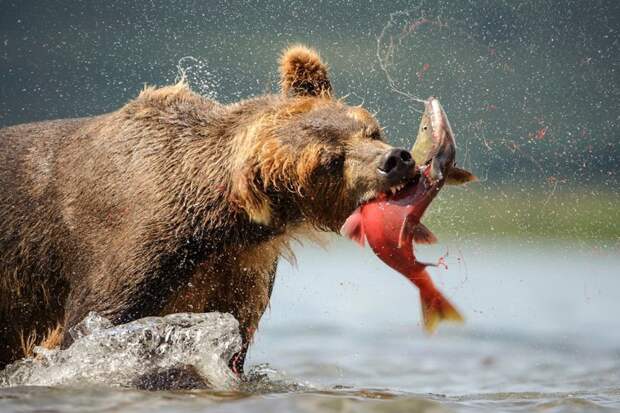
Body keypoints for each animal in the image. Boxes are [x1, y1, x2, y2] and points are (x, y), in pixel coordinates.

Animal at [1, 44, 416, 370]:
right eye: (329, 161)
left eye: (369, 130)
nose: (396, 160)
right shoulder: (124, 251)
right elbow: (92, 328)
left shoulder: (237, 270)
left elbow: (233, 337)